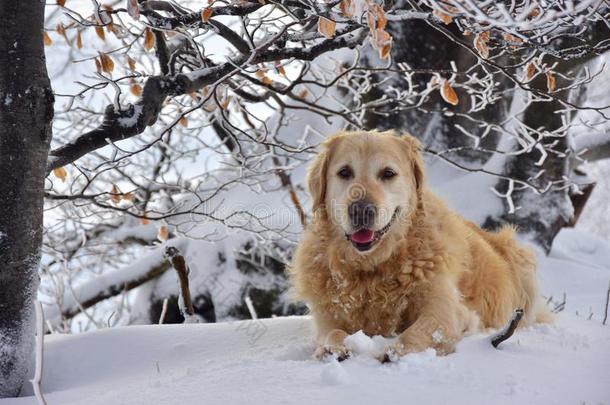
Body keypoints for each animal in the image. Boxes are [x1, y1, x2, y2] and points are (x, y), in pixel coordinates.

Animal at [288, 129, 548, 360]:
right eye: (344, 172)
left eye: (388, 173)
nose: (361, 210)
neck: (373, 267)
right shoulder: (327, 314)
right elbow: (332, 332)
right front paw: (333, 348)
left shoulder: (445, 309)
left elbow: (417, 332)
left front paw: (394, 352)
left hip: (521, 260)